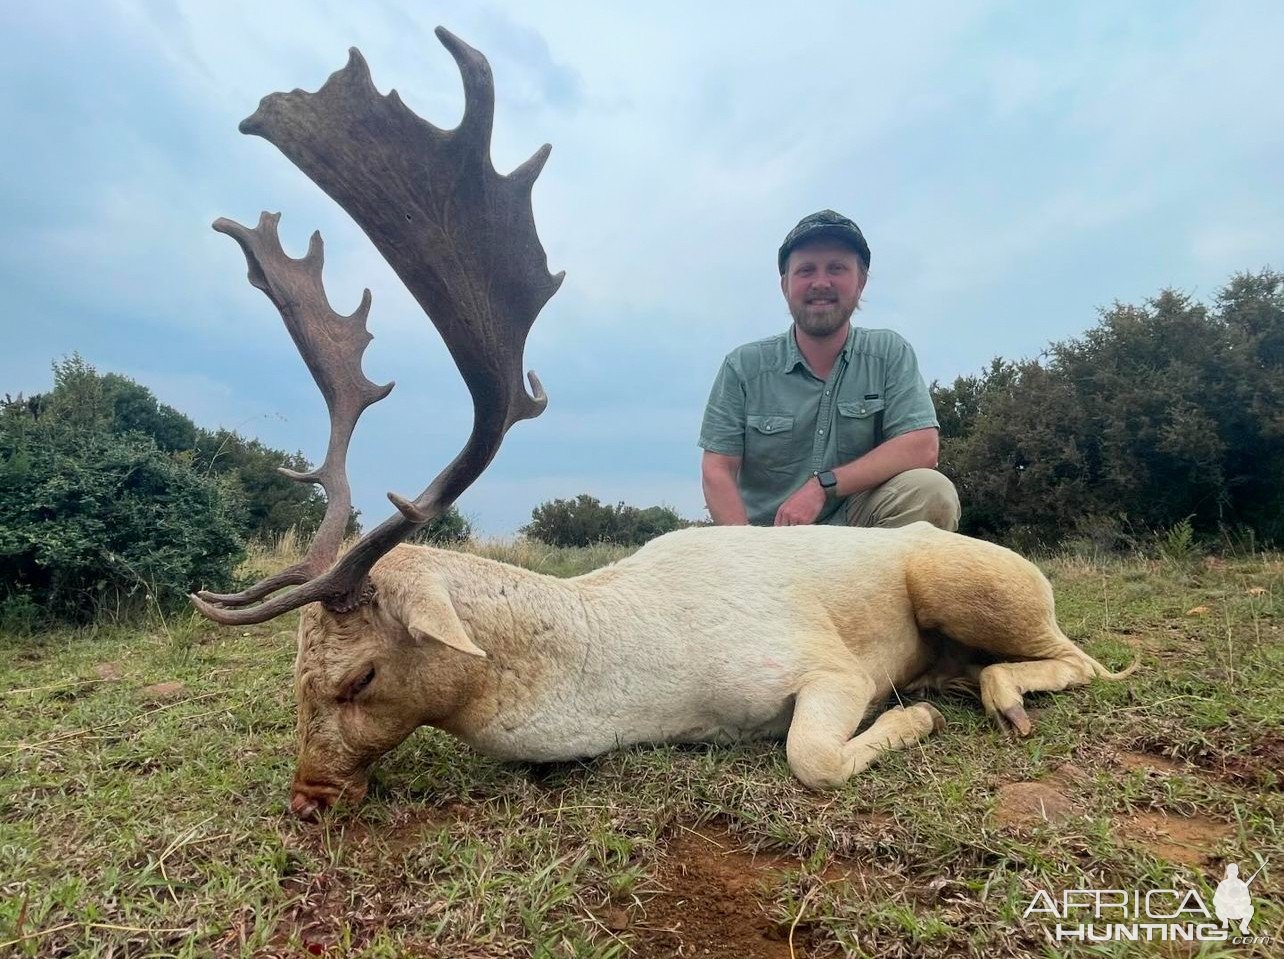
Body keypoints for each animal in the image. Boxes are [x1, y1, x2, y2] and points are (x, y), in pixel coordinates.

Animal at [190, 26, 1135, 821]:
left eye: (360, 675)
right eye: (295, 676)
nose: (307, 796)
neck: (650, 678)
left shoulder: (825, 663)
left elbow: (812, 757)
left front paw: (914, 721)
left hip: (971, 579)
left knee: (1089, 659)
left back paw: (995, 695)